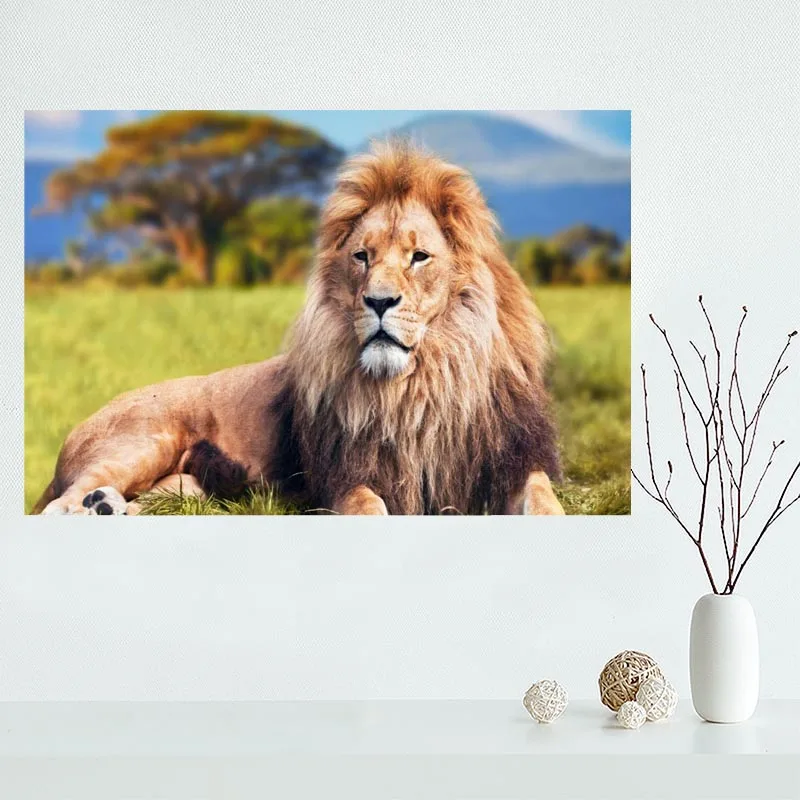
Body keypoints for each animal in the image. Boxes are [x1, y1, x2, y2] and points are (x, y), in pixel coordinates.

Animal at [34, 142, 564, 516]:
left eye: (419, 257)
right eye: (362, 256)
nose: (378, 301)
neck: (422, 385)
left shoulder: (513, 463)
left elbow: (544, 501)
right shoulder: (345, 478)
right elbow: (370, 508)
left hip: (188, 489)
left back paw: (109, 508)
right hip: (142, 442)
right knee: (61, 504)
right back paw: (94, 506)